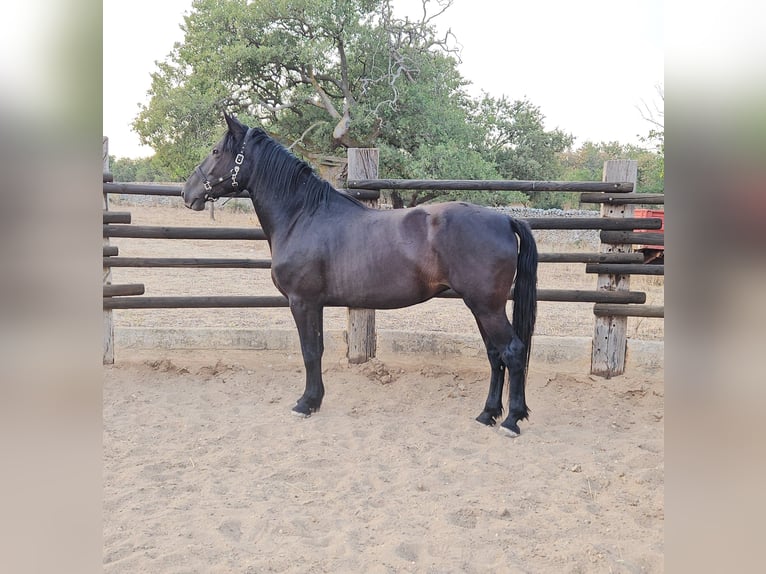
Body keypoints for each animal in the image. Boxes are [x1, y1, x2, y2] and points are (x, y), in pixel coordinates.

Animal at [184, 115, 540, 438]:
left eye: (216, 151)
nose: (188, 192)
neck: (303, 216)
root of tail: (505, 219)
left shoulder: (303, 302)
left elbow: (310, 351)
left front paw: (306, 403)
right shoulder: (314, 304)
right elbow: (316, 349)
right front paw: (314, 400)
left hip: (487, 307)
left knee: (512, 352)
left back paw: (511, 421)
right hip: (479, 306)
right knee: (495, 355)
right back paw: (488, 414)